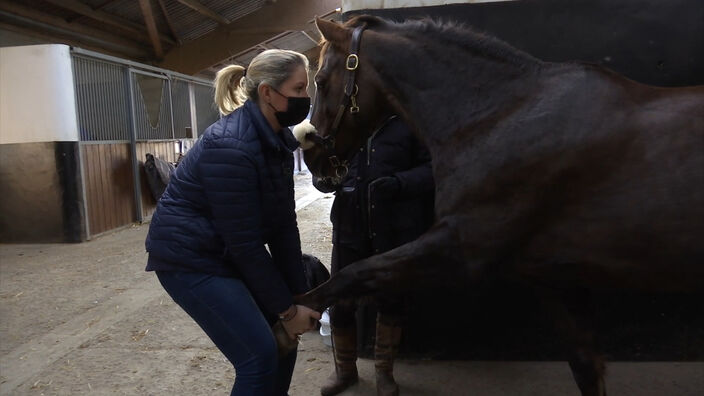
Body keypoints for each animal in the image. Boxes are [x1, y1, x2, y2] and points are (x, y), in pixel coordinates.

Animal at [300, 13, 704, 394]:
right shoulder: (555, 278)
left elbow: (352, 273)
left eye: (319, 80)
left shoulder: (457, 248)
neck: (497, 116)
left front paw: (295, 316)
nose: (314, 162)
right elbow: (586, 367)